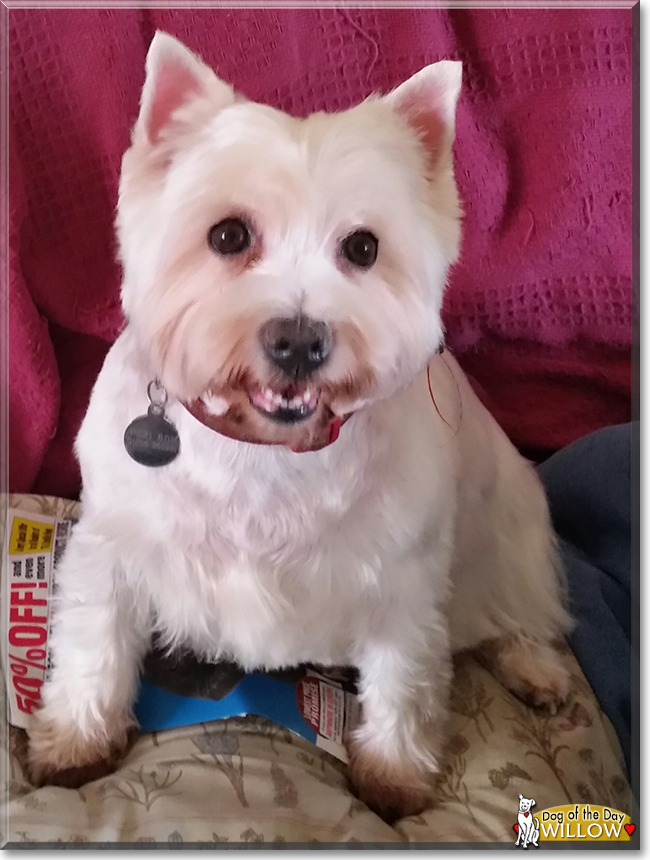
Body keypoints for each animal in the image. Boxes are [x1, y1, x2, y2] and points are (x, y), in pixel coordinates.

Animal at [26, 33, 568, 824]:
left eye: (364, 248)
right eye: (227, 235)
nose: (300, 341)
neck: (264, 448)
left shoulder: (402, 580)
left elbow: (403, 679)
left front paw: (394, 775)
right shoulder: (114, 546)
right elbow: (95, 643)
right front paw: (74, 742)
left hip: (507, 521)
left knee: (513, 607)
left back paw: (536, 665)